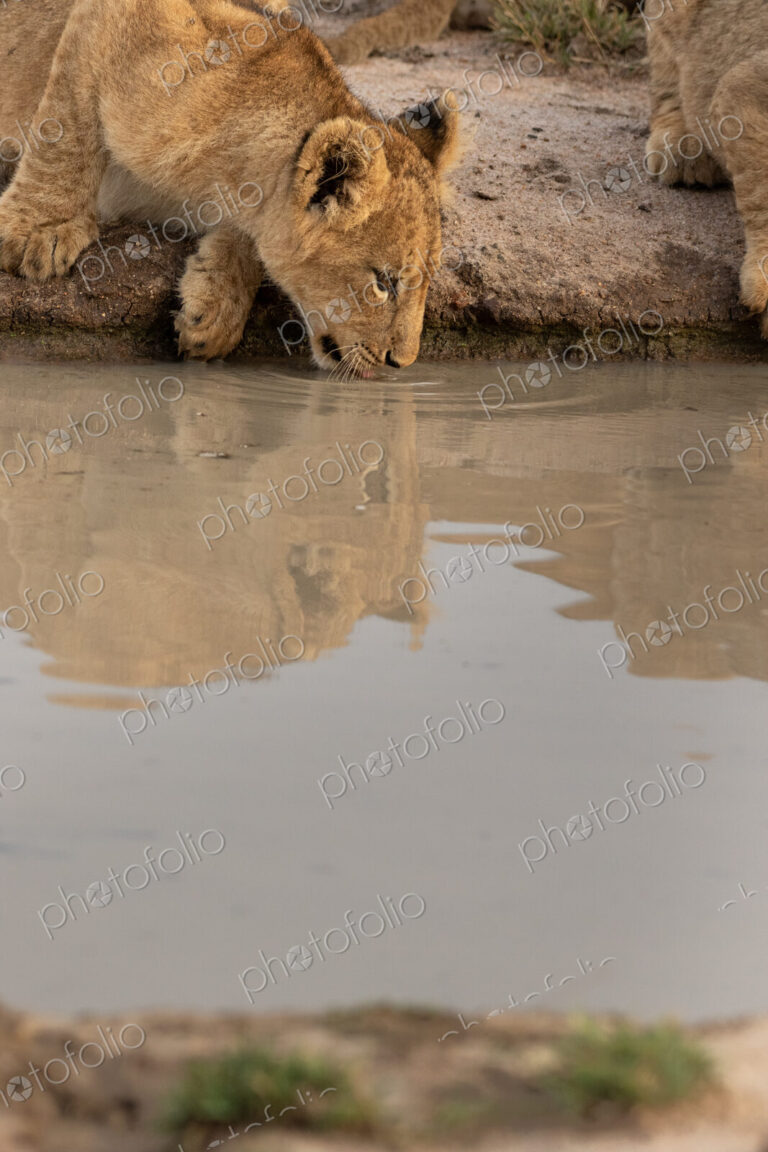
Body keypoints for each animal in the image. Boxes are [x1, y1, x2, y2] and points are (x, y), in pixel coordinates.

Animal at [0, 0, 460, 374]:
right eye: (384, 282)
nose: (402, 362)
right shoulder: (115, 18)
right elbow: (64, 125)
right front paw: (40, 229)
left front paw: (217, 311)